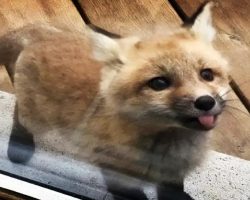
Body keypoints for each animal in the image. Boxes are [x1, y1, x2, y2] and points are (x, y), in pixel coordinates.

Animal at [0, 2, 230, 188]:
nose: (205, 102)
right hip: (38, 119)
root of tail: (42, 35)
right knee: (20, 115)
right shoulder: (113, 168)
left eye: (207, 74)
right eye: (159, 83)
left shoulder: (173, 173)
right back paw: (19, 147)